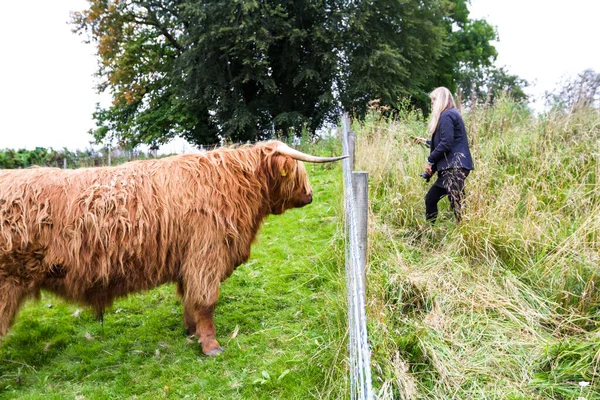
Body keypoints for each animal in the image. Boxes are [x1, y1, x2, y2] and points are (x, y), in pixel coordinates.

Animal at [0, 141, 344, 356]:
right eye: (298, 171)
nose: (310, 195)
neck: (236, 186)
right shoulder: (206, 253)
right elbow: (206, 302)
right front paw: (212, 346)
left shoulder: (188, 261)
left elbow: (190, 300)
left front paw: (192, 332)